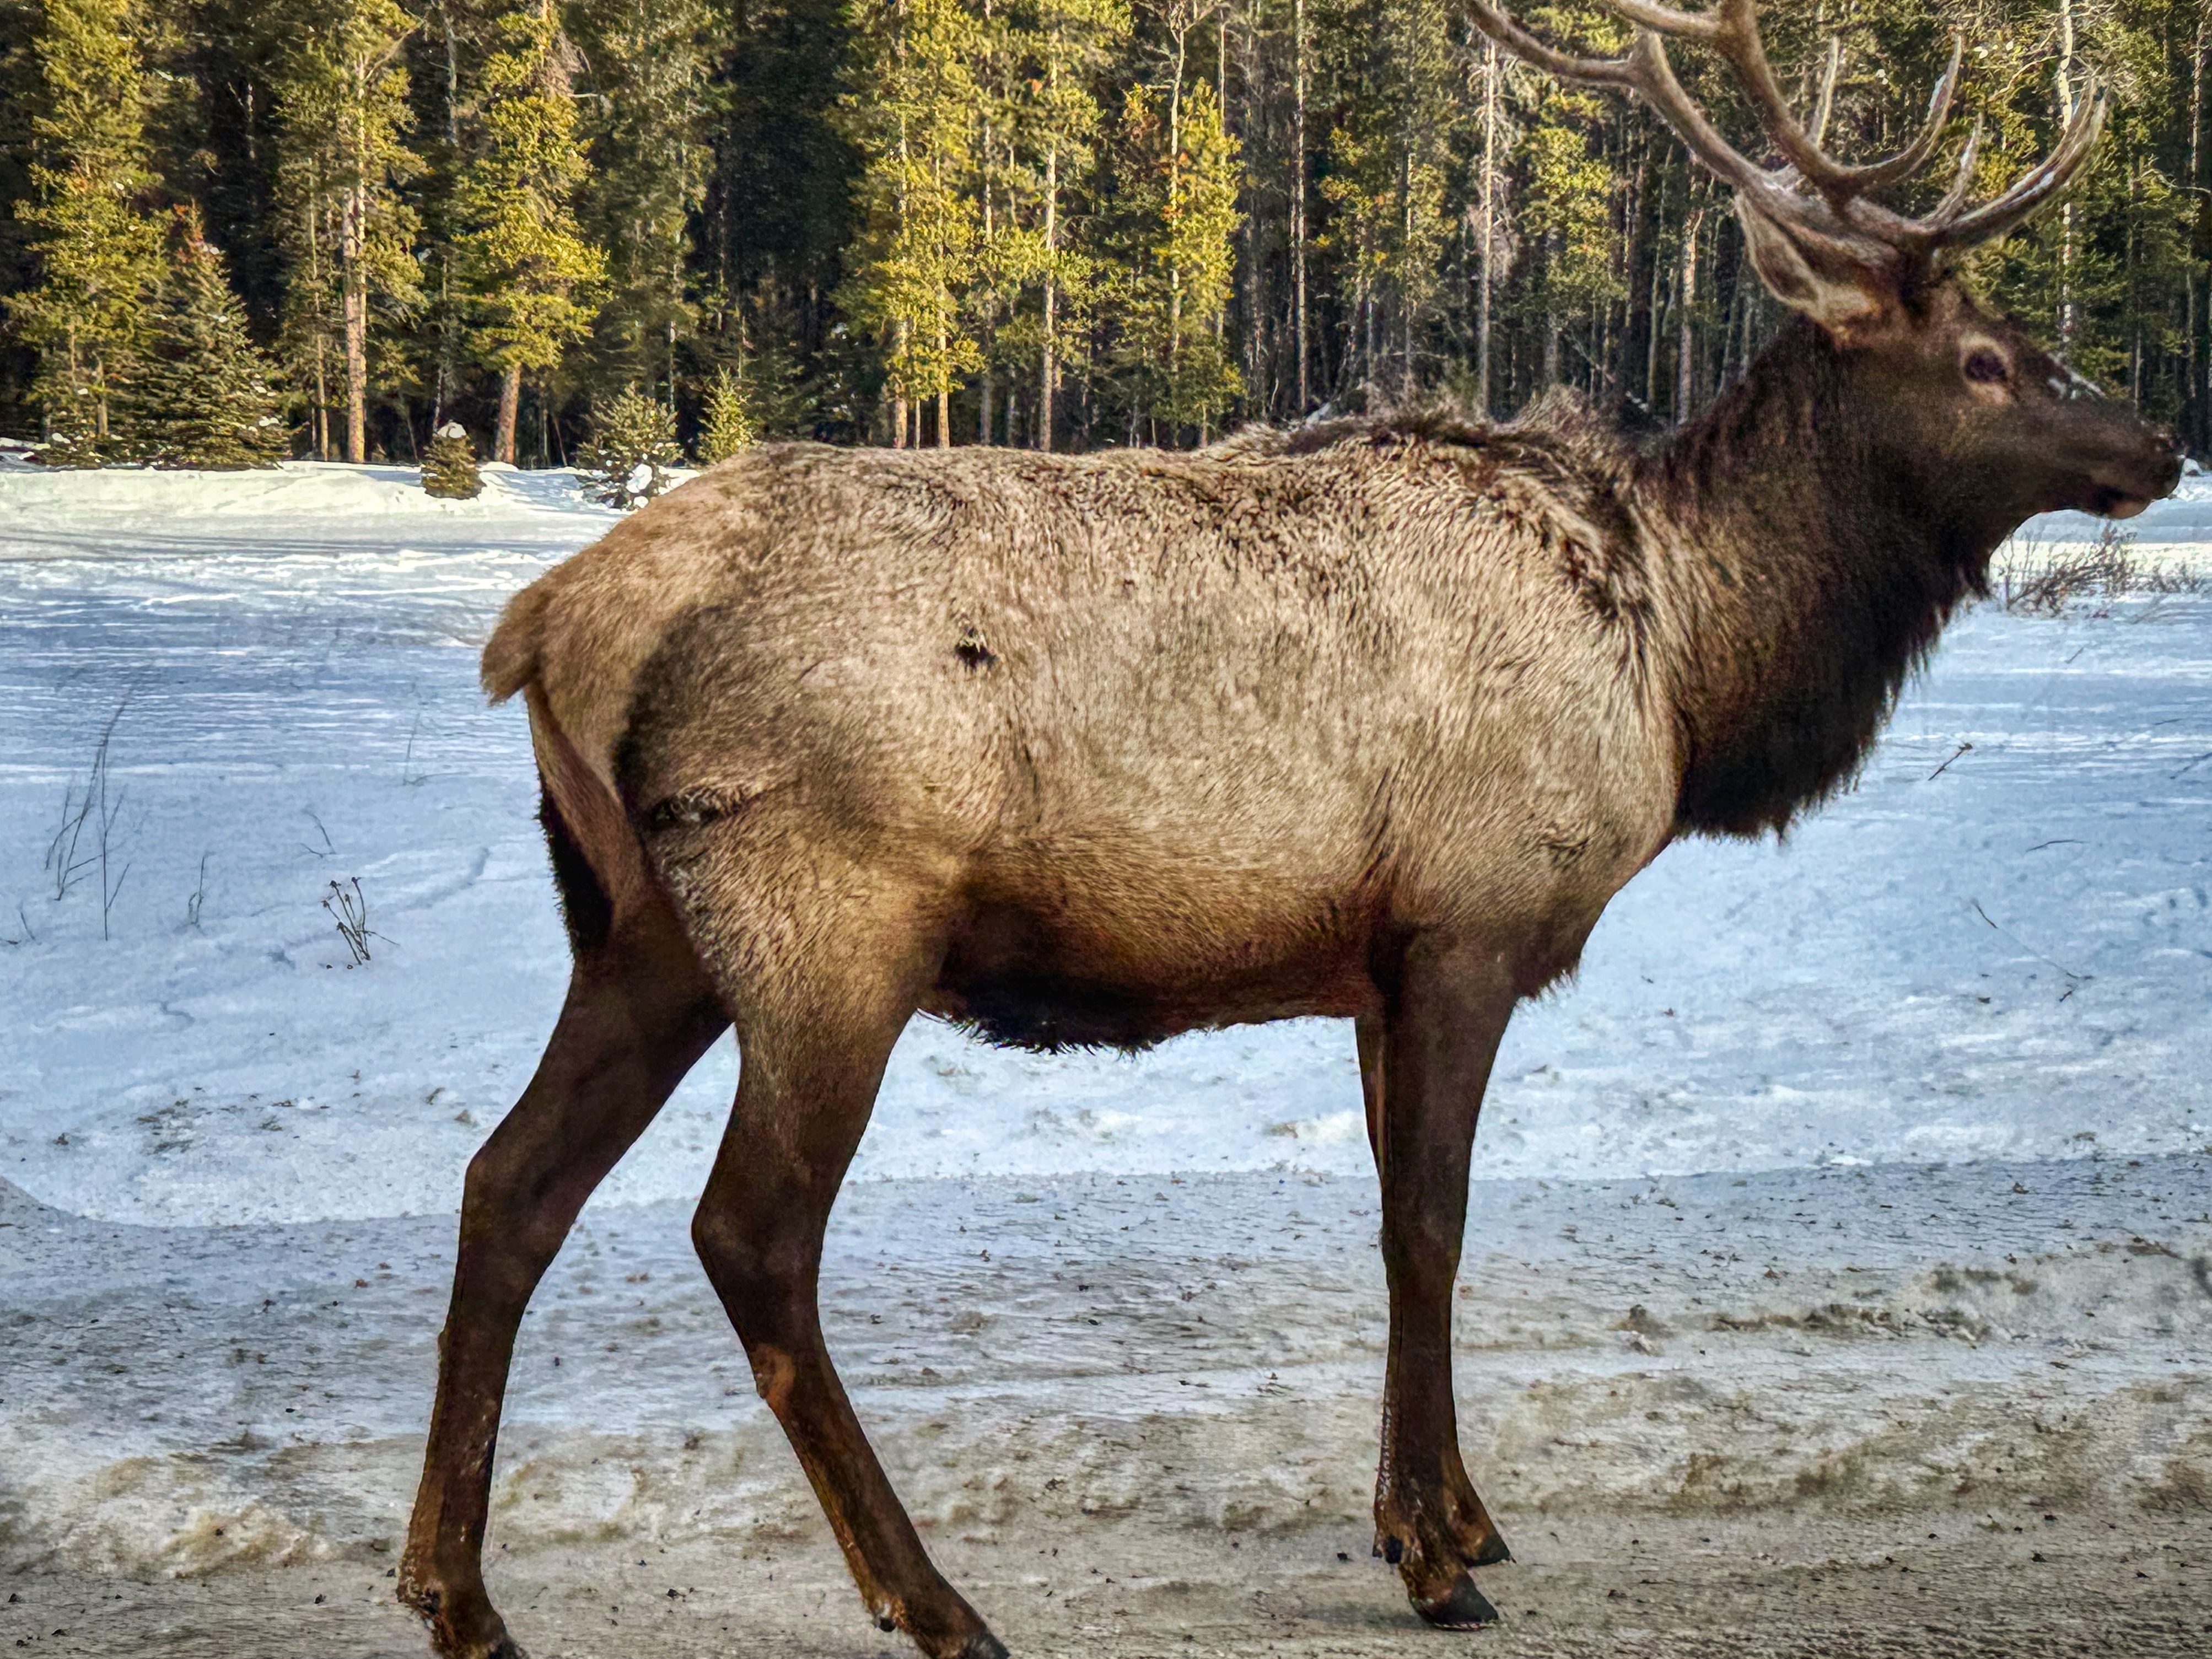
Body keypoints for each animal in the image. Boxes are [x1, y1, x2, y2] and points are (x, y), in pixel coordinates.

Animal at [397, 4, 2180, 1655]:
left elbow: (1398, 1220)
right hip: (828, 915)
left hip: (639, 929)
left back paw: (456, 1591)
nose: (2153, 440)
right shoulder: (1465, 922)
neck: (1684, 670)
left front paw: (1447, 1511)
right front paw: (1436, 1561)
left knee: (507, 1184)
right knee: (749, 1232)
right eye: (1981, 358)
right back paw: (931, 1599)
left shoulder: (1370, 961)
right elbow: (1426, 1227)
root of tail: (547, 624)